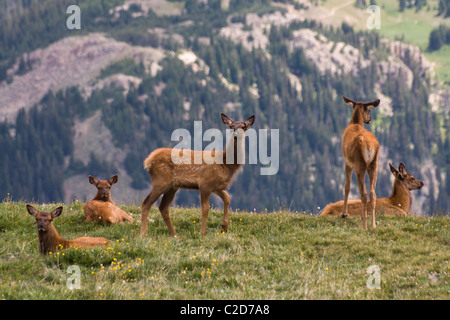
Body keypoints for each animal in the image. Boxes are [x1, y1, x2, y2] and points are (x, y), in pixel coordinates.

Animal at [342, 96, 380, 229]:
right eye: (369, 110)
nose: (370, 118)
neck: (354, 124)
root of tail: (369, 145)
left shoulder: (347, 162)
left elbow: (347, 186)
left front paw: (344, 214)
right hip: (374, 164)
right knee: (373, 194)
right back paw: (373, 225)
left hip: (360, 164)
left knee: (363, 193)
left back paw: (364, 226)